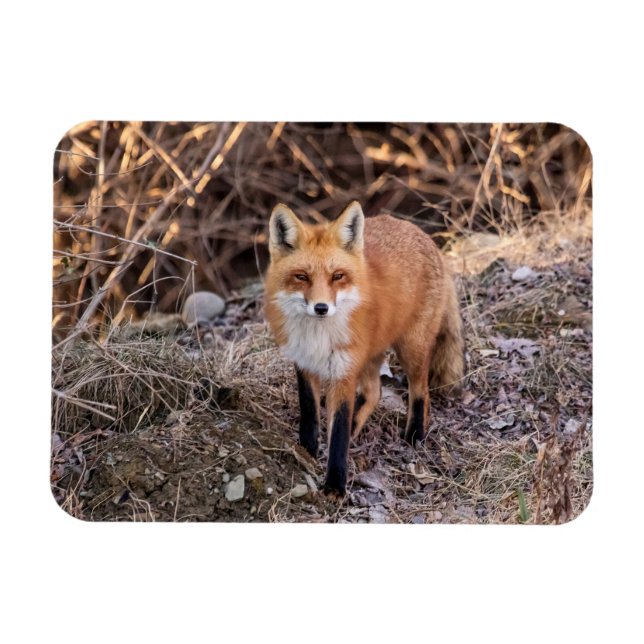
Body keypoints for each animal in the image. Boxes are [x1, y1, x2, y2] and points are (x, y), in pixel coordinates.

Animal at [264, 200, 464, 497]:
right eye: (301, 277)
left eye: (337, 276)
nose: (321, 308)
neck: (318, 337)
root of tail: (423, 235)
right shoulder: (304, 363)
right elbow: (310, 412)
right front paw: (307, 449)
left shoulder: (343, 372)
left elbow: (338, 433)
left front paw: (335, 486)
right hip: (370, 354)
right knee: (374, 392)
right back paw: (358, 426)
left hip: (411, 348)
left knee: (421, 391)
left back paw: (415, 435)